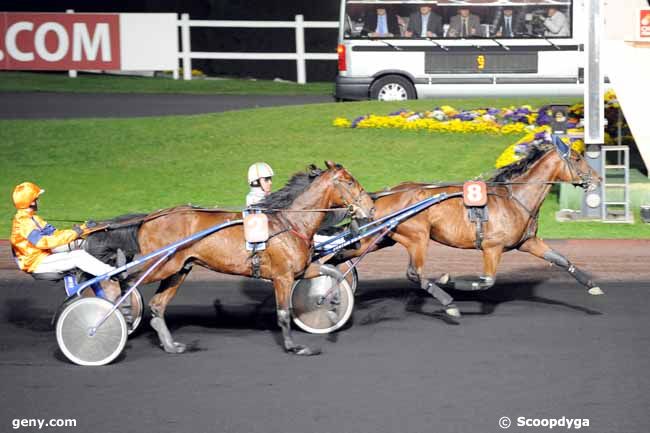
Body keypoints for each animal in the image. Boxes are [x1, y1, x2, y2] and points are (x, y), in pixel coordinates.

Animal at [83, 162, 372, 354]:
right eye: (349, 181)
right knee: (123, 279)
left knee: (156, 306)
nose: (369, 206)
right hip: (161, 265)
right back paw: (116, 310)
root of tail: (149, 217)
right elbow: (283, 313)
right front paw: (294, 346)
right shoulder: (282, 277)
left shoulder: (299, 271)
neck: (289, 222)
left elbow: (331, 271)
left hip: (179, 270)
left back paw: (171, 344)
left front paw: (333, 299)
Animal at [336, 139, 600, 318]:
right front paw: (449, 281)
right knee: (415, 273)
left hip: (383, 238)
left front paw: (592, 286)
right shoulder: (492, 247)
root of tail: (384, 194)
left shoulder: (528, 242)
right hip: (417, 237)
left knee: (343, 255)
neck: (514, 198)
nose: (597, 179)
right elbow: (487, 281)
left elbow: (561, 260)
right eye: (577, 158)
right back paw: (448, 303)